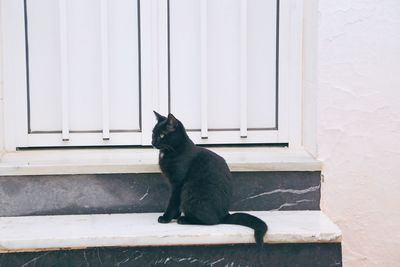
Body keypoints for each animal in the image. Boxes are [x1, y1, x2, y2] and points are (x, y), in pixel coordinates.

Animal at [152, 111, 268, 247]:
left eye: (162, 135)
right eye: (153, 133)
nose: (152, 142)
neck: (175, 150)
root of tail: (224, 215)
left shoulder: (178, 184)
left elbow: (173, 202)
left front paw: (166, 218)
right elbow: (175, 202)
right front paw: (174, 216)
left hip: (189, 191)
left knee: (211, 221)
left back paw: (185, 219)